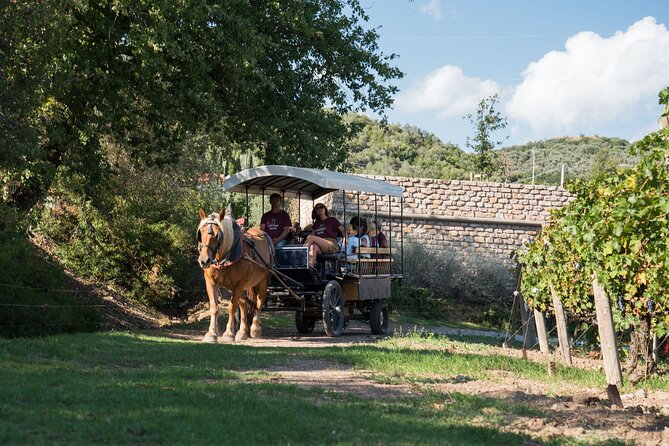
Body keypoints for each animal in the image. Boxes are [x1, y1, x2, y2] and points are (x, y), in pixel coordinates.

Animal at [196, 208, 274, 342]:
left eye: (218, 235)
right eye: (200, 233)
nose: (204, 260)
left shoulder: (238, 284)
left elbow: (232, 307)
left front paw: (228, 333)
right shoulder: (210, 282)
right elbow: (214, 307)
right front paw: (212, 333)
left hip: (263, 280)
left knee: (259, 302)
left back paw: (255, 328)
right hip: (246, 285)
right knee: (243, 304)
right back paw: (242, 332)